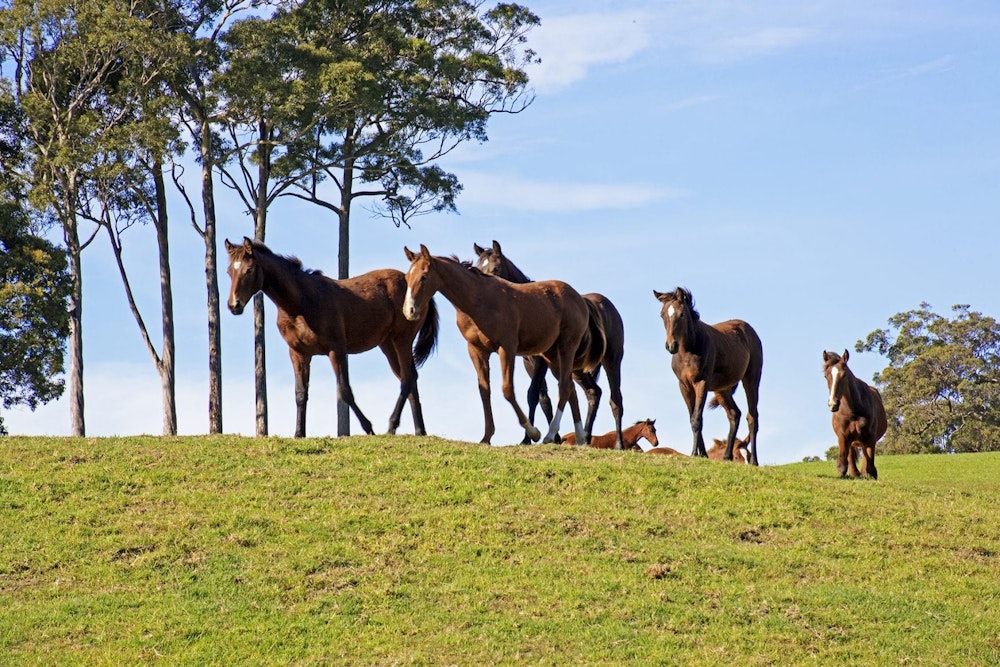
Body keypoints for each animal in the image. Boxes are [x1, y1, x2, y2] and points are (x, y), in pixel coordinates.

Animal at [227, 236, 438, 438]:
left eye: (249, 269)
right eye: (229, 271)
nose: (234, 305)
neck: (301, 303)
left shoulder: (336, 350)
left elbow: (345, 391)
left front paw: (368, 428)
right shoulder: (299, 353)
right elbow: (300, 394)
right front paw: (299, 433)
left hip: (402, 339)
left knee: (407, 378)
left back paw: (393, 426)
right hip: (388, 344)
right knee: (410, 378)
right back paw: (420, 431)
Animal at [398, 243, 600, 446]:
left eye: (424, 276)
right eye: (407, 277)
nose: (409, 311)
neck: (478, 300)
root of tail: (579, 298)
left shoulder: (507, 348)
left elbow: (508, 390)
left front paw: (533, 432)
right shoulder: (476, 350)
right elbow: (484, 391)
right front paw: (486, 437)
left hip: (567, 347)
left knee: (564, 387)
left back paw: (551, 435)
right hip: (550, 354)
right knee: (570, 388)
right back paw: (580, 437)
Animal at [468, 240, 624, 448]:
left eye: (496, 267)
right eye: (478, 268)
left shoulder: (541, 361)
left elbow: (533, 393)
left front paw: (528, 438)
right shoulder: (530, 363)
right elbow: (542, 398)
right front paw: (551, 438)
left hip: (612, 361)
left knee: (616, 400)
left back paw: (619, 445)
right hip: (577, 369)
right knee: (593, 392)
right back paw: (586, 438)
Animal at [652, 288, 760, 464]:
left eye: (682, 314)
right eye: (662, 314)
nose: (671, 346)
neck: (688, 351)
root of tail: (749, 329)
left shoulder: (701, 383)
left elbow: (697, 419)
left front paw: (694, 453)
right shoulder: (684, 386)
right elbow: (692, 417)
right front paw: (702, 454)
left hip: (751, 379)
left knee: (752, 417)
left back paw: (754, 461)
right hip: (722, 389)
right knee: (734, 414)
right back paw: (727, 456)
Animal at [824, 350, 888, 480]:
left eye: (844, 375)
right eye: (826, 376)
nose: (833, 404)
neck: (853, 411)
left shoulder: (870, 437)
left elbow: (870, 468)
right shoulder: (843, 436)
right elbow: (842, 465)